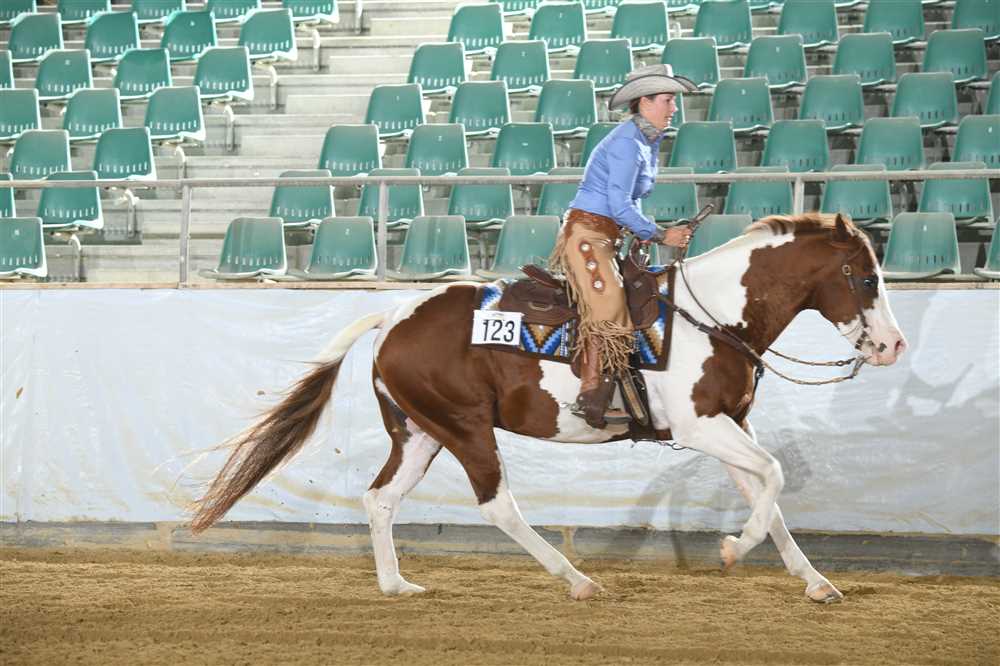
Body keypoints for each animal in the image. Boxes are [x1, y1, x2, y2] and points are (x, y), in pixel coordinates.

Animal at [189, 212, 907, 604]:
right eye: (864, 277)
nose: (894, 345)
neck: (712, 318)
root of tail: (392, 317)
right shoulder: (702, 426)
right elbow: (775, 478)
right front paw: (734, 549)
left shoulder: (729, 425)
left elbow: (768, 492)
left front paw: (814, 582)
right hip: (465, 427)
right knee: (496, 505)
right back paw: (577, 579)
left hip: (420, 431)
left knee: (381, 499)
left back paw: (396, 585)